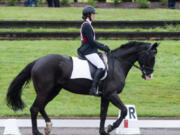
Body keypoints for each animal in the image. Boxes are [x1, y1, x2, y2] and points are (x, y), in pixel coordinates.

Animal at [6, 41, 159, 135]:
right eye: (150, 56)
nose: (149, 75)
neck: (117, 64)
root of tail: (37, 61)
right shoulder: (112, 94)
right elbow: (124, 111)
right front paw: (111, 127)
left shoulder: (105, 96)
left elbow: (103, 114)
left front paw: (103, 131)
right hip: (45, 91)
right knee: (34, 108)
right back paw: (37, 132)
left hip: (53, 90)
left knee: (41, 107)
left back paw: (48, 126)